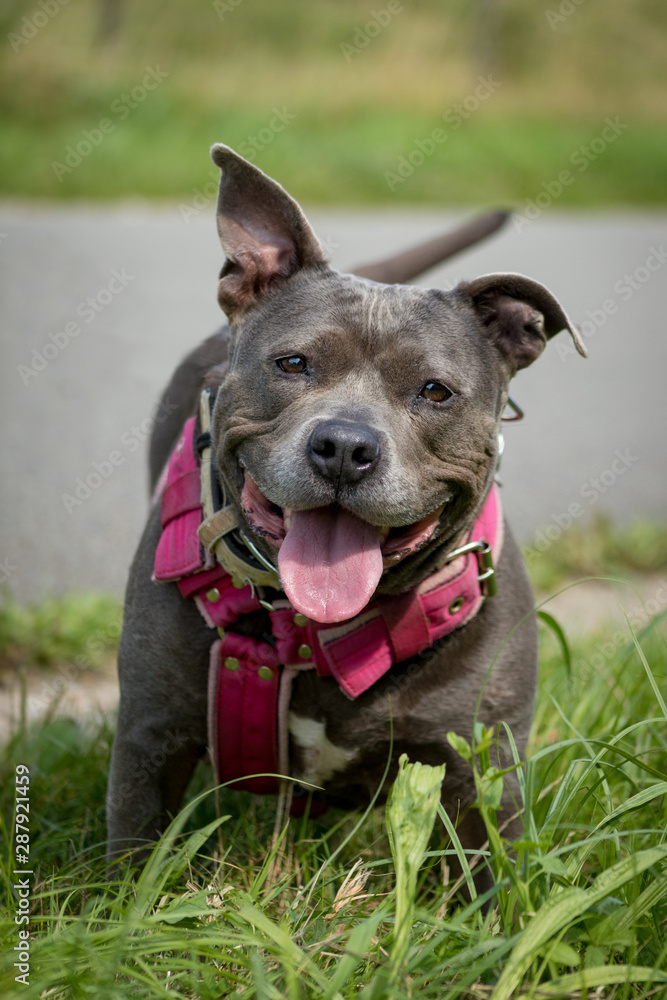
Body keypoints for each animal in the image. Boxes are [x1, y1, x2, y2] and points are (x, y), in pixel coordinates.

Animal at [107, 145, 588, 880]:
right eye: (292, 363)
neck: (319, 627)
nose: (343, 448)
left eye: (435, 392)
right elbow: (129, 872)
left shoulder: (480, 773)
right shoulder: (149, 741)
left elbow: (491, 888)